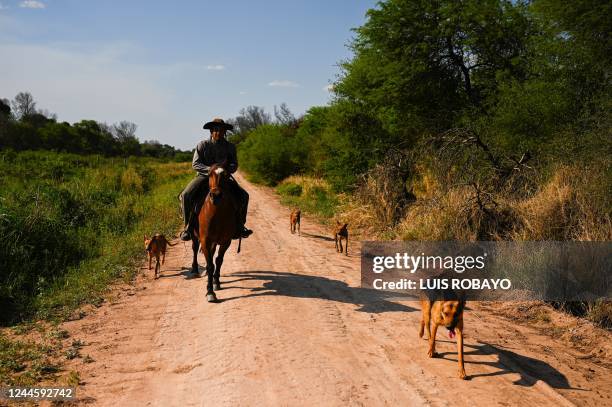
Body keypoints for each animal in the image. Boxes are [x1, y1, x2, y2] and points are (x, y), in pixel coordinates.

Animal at [190, 163, 240, 302]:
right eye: (209, 174)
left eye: (226, 175)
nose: (216, 195)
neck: (217, 213)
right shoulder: (205, 240)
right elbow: (210, 265)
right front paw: (210, 292)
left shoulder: (225, 241)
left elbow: (218, 261)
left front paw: (216, 282)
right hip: (195, 236)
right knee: (195, 249)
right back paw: (195, 269)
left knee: (212, 255)